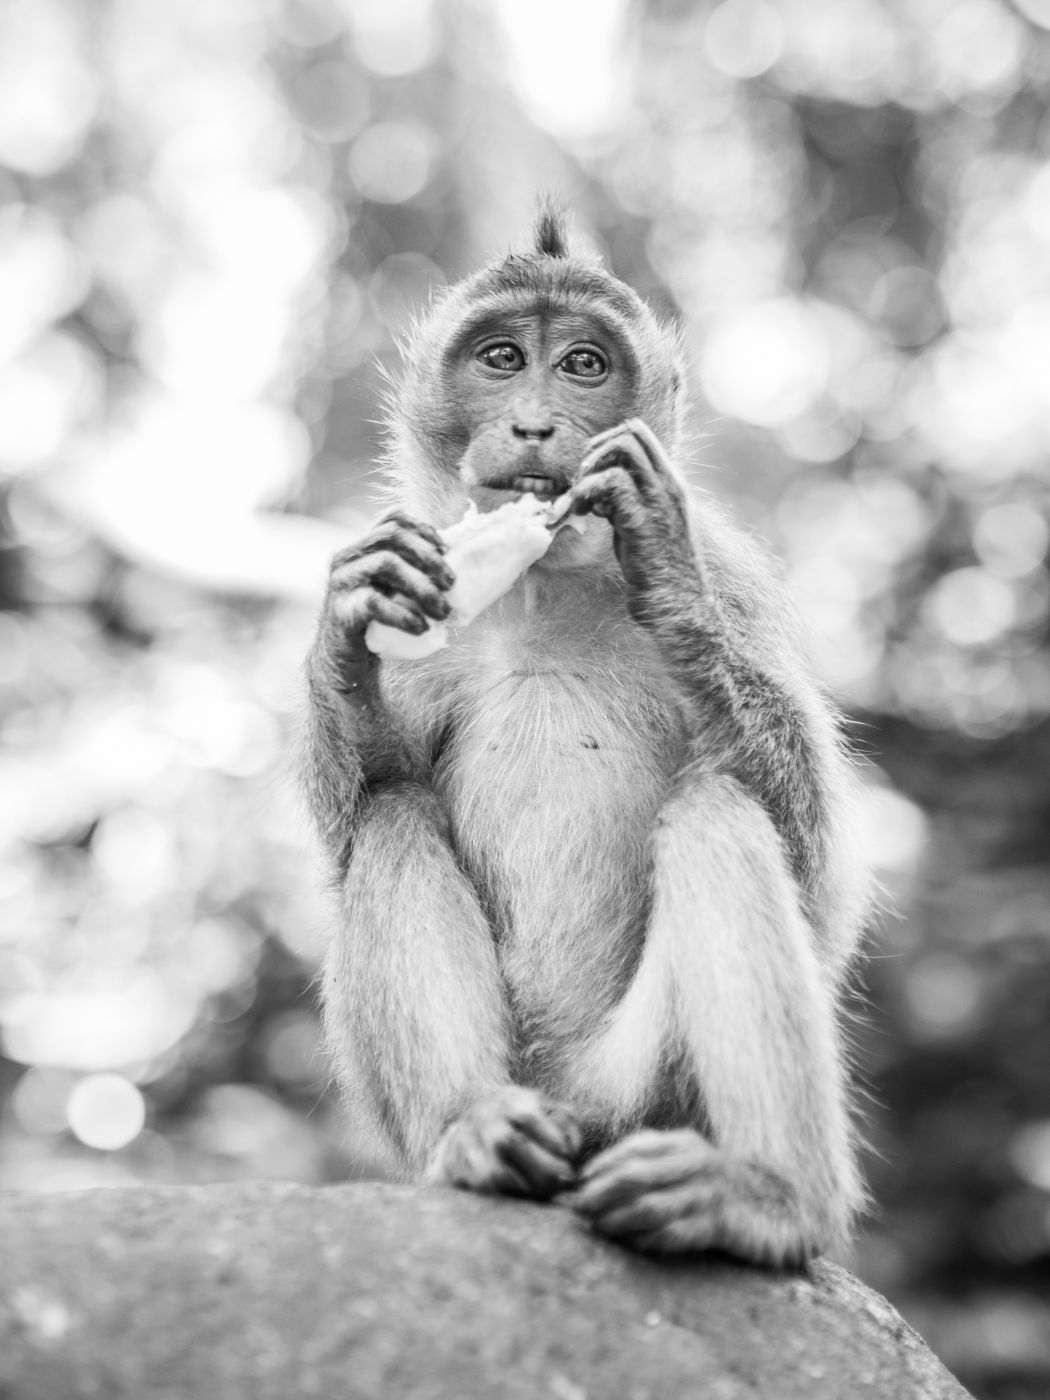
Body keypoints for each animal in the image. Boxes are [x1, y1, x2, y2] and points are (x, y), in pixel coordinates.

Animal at [303, 205, 871, 1267]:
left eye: (582, 365)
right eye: (501, 357)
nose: (535, 423)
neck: (541, 584)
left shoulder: (739, 581)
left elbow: (815, 866)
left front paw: (663, 564)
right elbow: (367, 796)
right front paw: (348, 621)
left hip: (645, 1093)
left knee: (718, 814)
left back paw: (766, 1196)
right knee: (393, 819)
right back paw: (479, 1133)